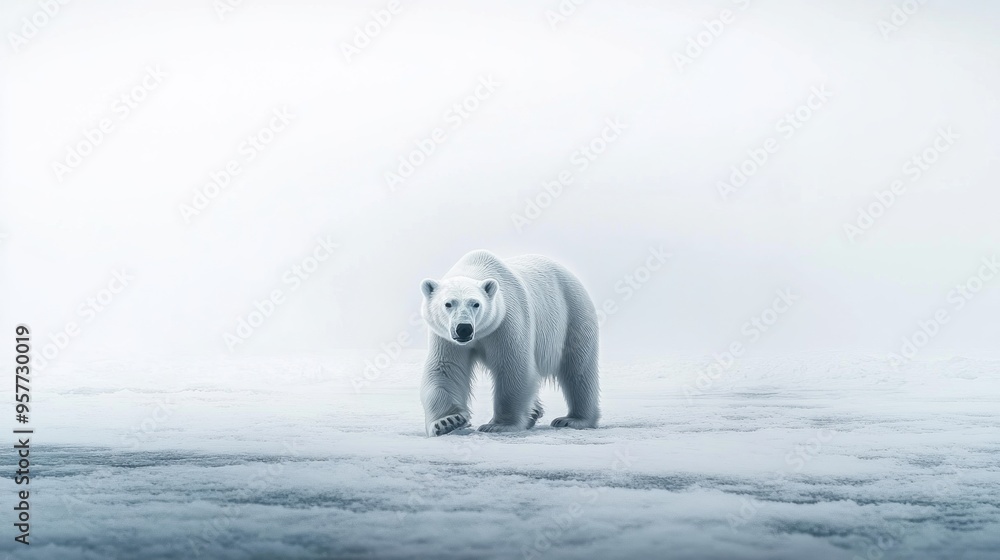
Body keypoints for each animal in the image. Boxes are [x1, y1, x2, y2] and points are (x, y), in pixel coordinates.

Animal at [418, 249, 600, 436]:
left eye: (476, 304)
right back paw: (534, 412)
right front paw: (448, 421)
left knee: (577, 369)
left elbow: (513, 367)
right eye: (448, 303)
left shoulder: (507, 320)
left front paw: (498, 425)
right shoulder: (446, 337)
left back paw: (573, 419)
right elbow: (446, 368)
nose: (464, 328)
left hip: (573, 315)